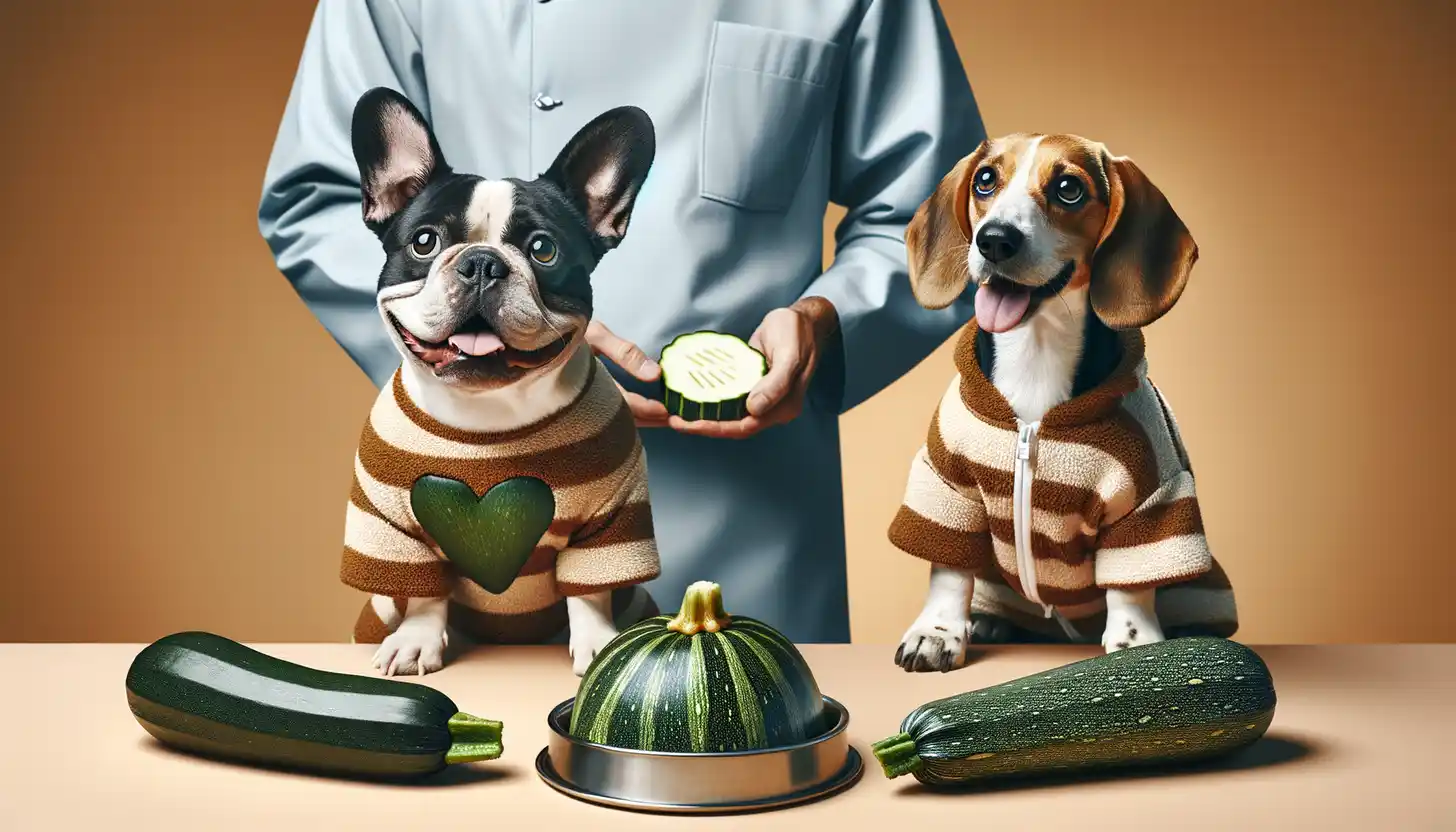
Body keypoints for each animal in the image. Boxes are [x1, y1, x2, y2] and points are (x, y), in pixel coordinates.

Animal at [885, 133, 1228, 673]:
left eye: (1069, 188)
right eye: (985, 179)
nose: (995, 240)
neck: (1035, 354)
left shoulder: (1152, 501)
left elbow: (1131, 588)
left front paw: (1135, 643)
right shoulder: (946, 485)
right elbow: (948, 571)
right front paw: (937, 632)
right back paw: (986, 620)